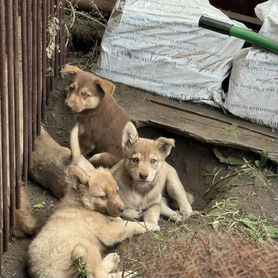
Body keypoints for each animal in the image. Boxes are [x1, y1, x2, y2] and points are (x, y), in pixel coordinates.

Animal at [28, 165, 159, 278]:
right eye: (103, 197)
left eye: (117, 191)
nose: (123, 209)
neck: (81, 204)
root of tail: (44, 273)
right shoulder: (109, 232)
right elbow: (131, 225)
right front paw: (151, 225)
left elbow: (120, 220)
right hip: (87, 247)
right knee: (98, 275)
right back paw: (127, 273)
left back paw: (113, 259)